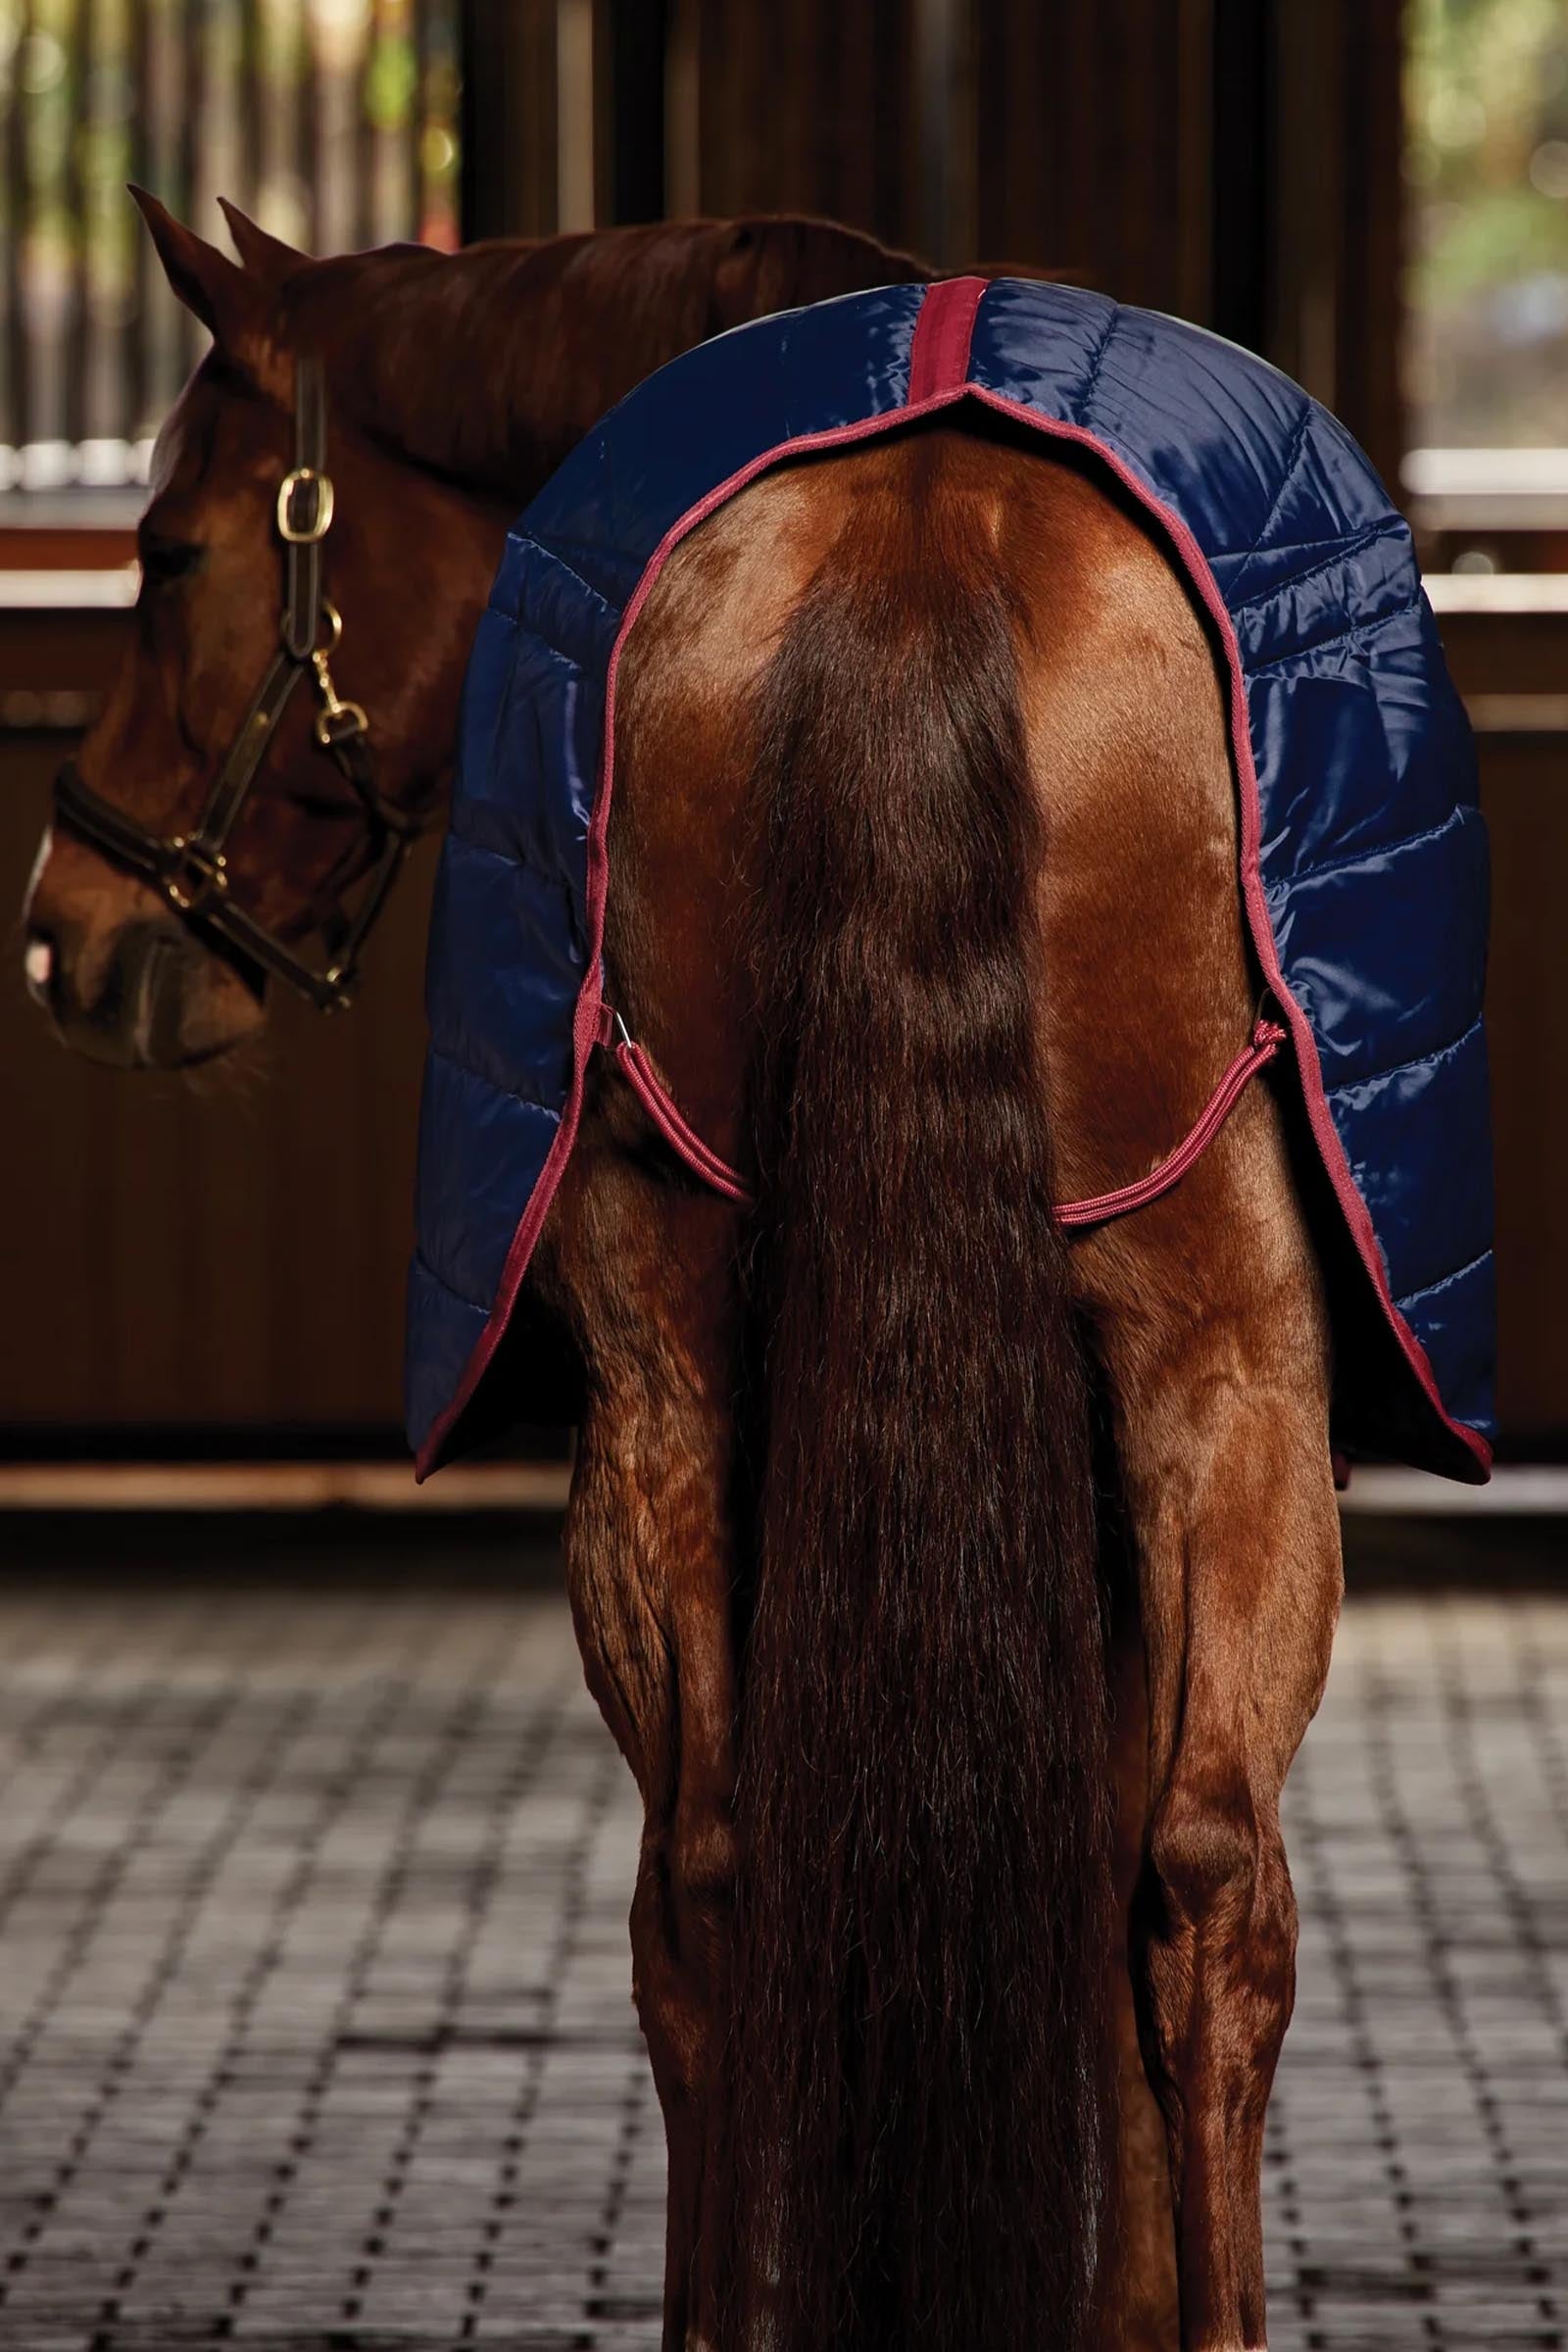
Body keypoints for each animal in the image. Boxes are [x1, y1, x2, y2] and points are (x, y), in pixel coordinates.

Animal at [21, 211, 1369, 2352]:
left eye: (162, 554)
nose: (69, 932)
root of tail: (922, 545)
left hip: (709, 1396)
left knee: (745, 1883)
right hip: (1201, 1386)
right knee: (1180, 1893)